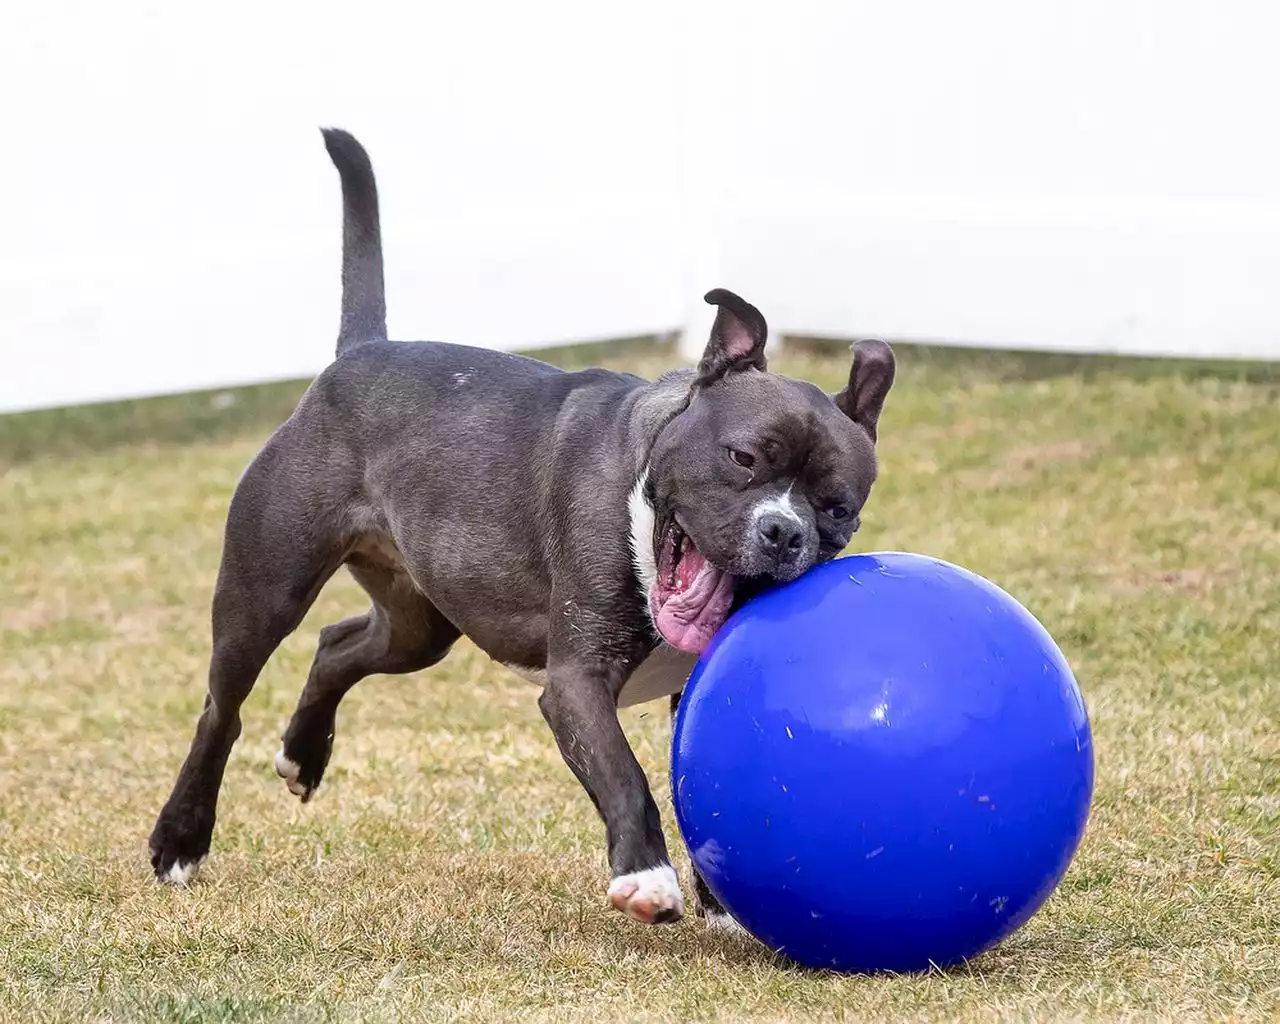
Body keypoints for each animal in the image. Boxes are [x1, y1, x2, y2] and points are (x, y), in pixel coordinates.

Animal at [147, 129, 890, 926]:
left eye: (837, 508)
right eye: (745, 458)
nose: (784, 533)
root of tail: (358, 354)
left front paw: (719, 898)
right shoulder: (576, 682)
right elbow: (627, 776)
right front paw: (648, 877)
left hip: (418, 627)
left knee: (336, 645)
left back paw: (303, 754)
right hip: (264, 593)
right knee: (222, 709)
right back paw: (180, 838)